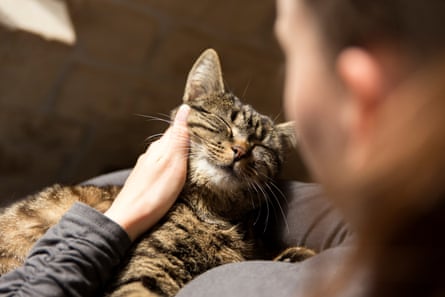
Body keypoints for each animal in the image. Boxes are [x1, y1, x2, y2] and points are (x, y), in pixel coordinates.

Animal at [0, 49, 312, 296]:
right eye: (223, 122)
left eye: (261, 146)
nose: (241, 150)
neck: (215, 214)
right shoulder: (148, 269)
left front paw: (295, 256)